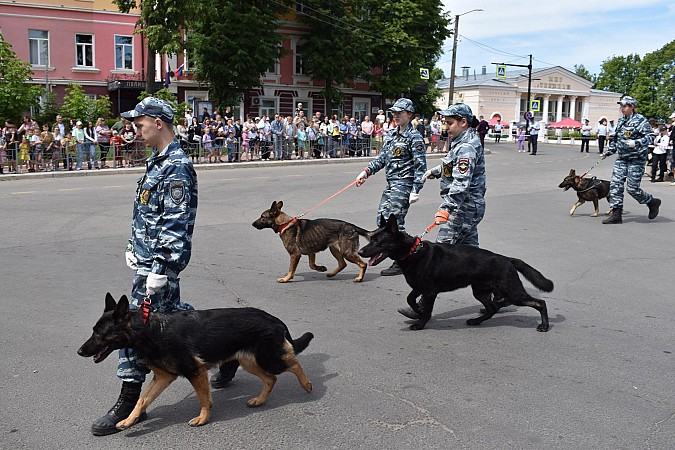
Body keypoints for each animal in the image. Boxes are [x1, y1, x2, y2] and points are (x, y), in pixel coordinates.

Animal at [78, 294, 314, 430]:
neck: (149, 330)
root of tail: (274, 319)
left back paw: (307, 384)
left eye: (99, 334)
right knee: (271, 378)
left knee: (293, 363)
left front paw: (203, 418)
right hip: (251, 362)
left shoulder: (196, 372)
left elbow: (204, 398)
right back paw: (260, 400)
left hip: (267, 358)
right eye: (94, 331)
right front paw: (129, 420)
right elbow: (142, 400)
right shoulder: (163, 377)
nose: (79, 351)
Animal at [360, 216, 556, 332]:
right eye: (371, 239)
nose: (361, 252)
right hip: (480, 291)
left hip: (513, 292)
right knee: (492, 308)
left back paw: (544, 325)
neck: (412, 251)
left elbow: (426, 310)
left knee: (540, 303)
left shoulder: (429, 292)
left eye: (377, 242)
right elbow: (410, 299)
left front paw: (421, 322)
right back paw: (477, 321)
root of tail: (506, 259)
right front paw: (417, 310)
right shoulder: (419, 288)